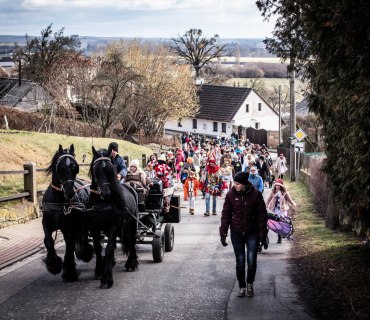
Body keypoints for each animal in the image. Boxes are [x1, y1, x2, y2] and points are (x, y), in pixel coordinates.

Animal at [41, 145, 92, 282]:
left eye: (75, 167)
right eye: (61, 168)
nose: (69, 192)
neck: (59, 200)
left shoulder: (71, 226)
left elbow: (69, 245)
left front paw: (69, 272)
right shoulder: (47, 224)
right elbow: (48, 241)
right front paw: (54, 265)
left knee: (82, 237)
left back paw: (85, 252)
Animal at [88, 146, 139, 288]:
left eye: (110, 170)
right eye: (96, 169)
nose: (105, 193)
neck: (102, 203)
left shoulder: (114, 226)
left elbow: (109, 249)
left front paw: (107, 278)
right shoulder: (94, 226)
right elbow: (98, 247)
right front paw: (99, 271)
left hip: (132, 223)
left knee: (132, 240)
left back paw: (132, 263)